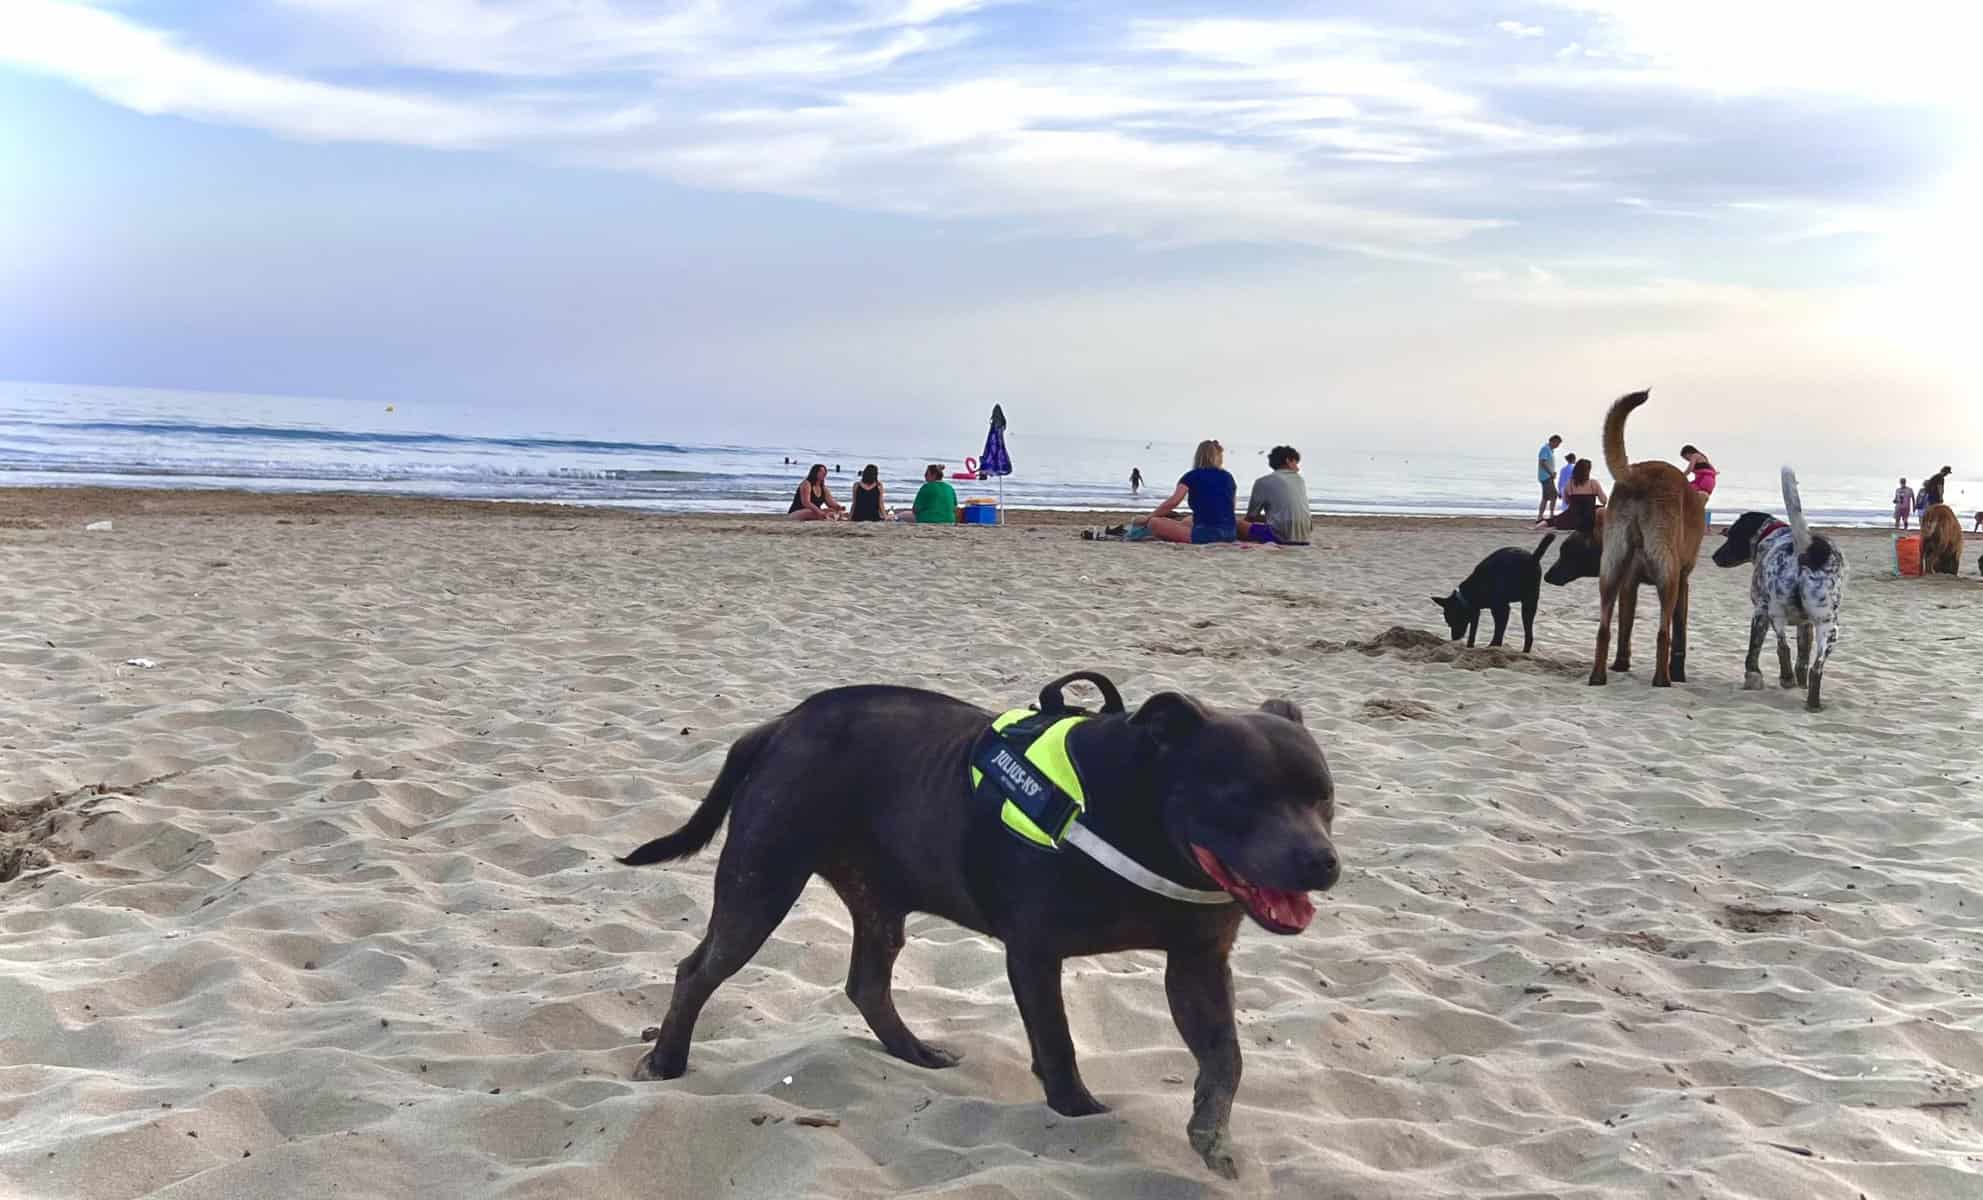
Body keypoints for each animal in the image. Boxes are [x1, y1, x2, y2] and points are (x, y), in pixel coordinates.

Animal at [610, 674, 1340, 1182]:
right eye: (1240, 797)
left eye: (1324, 797)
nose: (1323, 861)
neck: (1140, 816)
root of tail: (780, 726)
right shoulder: (1035, 954)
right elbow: (1058, 1044)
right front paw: (1078, 1112)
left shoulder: (1196, 963)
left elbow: (1226, 1058)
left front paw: (1212, 1136)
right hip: (760, 887)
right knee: (698, 970)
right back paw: (667, 1061)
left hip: (877, 901)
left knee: (867, 984)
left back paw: (914, 1053)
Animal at [1578, 392, 1705, 686]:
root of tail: (1637, 475)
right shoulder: (1683, 581)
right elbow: (1679, 631)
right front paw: (1679, 671)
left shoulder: (1628, 583)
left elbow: (1625, 627)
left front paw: (1621, 664)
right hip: (1668, 577)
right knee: (1663, 632)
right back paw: (1663, 679)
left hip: (1610, 571)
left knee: (1603, 630)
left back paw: (1598, 676)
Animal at [1713, 468, 1848, 710]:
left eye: (1731, 536)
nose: (1714, 556)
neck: (1772, 535)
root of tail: (1807, 550)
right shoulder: (1806, 624)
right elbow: (1803, 656)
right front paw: (1800, 682)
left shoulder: (1759, 611)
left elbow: (1754, 650)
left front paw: (1753, 676)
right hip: (1829, 626)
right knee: (1816, 667)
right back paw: (1812, 703)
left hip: (1775, 611)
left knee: (1782, 645)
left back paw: (1786, 680)